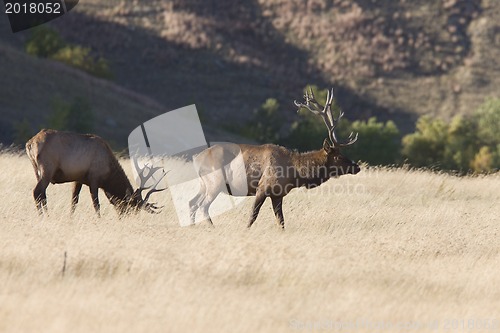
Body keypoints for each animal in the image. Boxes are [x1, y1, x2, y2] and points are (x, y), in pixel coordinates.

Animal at [25, 128, 166, 217]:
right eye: (131, 207)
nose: (126, 218)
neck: (108, 174)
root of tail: (30, 143)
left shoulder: (78, 179)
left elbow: (74, 201)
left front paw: (70, 218)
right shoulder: (94, 179)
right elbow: (96, 204)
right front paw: (99, 220)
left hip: (37, 170)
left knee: (42, 194)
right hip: (47, 169)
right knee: (37, 192)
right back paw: (44, 216)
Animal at [188, 86, 360, 228]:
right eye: (338, 156)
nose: (356, 167)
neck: (295, 173)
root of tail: (196, 159)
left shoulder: (277, 195)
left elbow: (281, 221)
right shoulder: (262, 187)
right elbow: (253, 215)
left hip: (204, 184)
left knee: (192, 203)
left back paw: (192, 227)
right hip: (215, 181)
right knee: (203, 206)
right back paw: (212, 228)